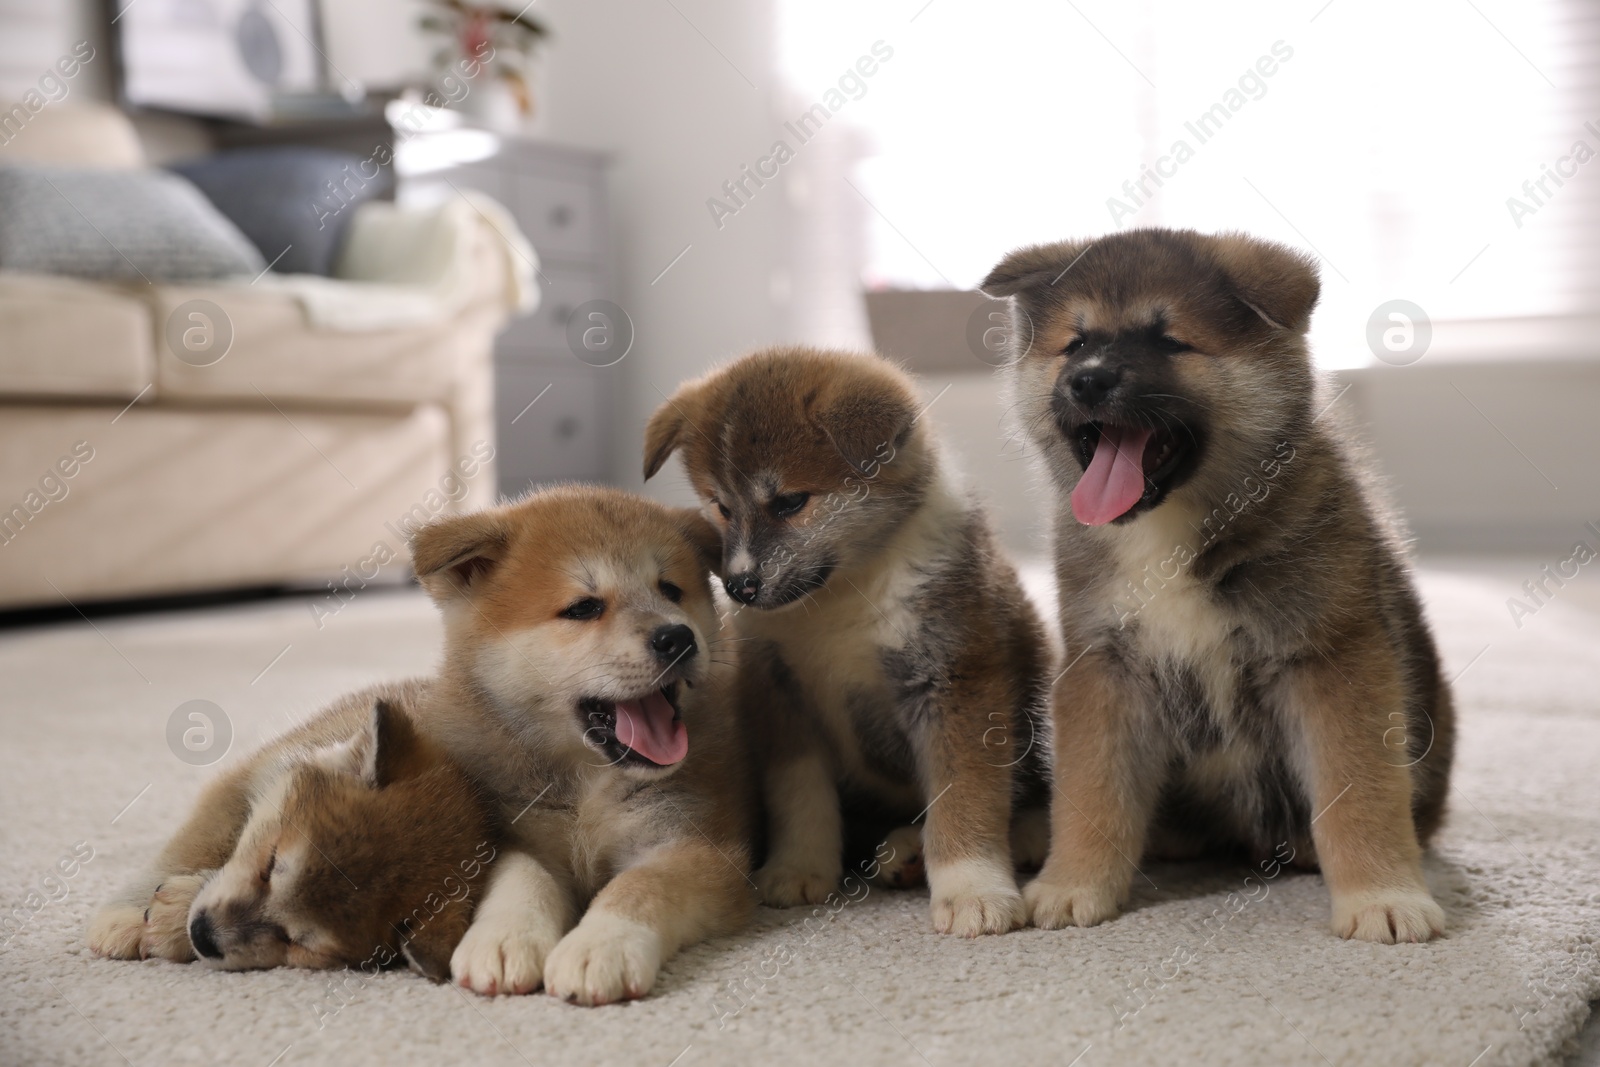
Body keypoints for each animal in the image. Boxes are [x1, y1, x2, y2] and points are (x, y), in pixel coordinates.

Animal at [87, 684, 496, 985]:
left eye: (297, 943)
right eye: (269, 864)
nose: (203, 934)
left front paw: (173, 919)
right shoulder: (242, 782)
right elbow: (194, 844)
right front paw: (125, 916)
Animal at [643, 348, 1056, 934]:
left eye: (791, 502)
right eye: (721, 506)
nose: (740, 586)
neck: (845, 595)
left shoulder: (956, 680)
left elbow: (965, 795)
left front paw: (973, 890)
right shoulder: (779, 694)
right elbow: (801, 798)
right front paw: (799, 867)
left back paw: (1021, 835)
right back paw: (904, 850)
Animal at [979, 231, 1459, 940]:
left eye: (1170, 341)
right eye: (1075, 342)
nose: (1087, 379)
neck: (1171, 538)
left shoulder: (1333, 659)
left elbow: (1360, 792)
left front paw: (1382, 896)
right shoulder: (1104, 666)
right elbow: (1092, 790)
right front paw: (1075, 883)